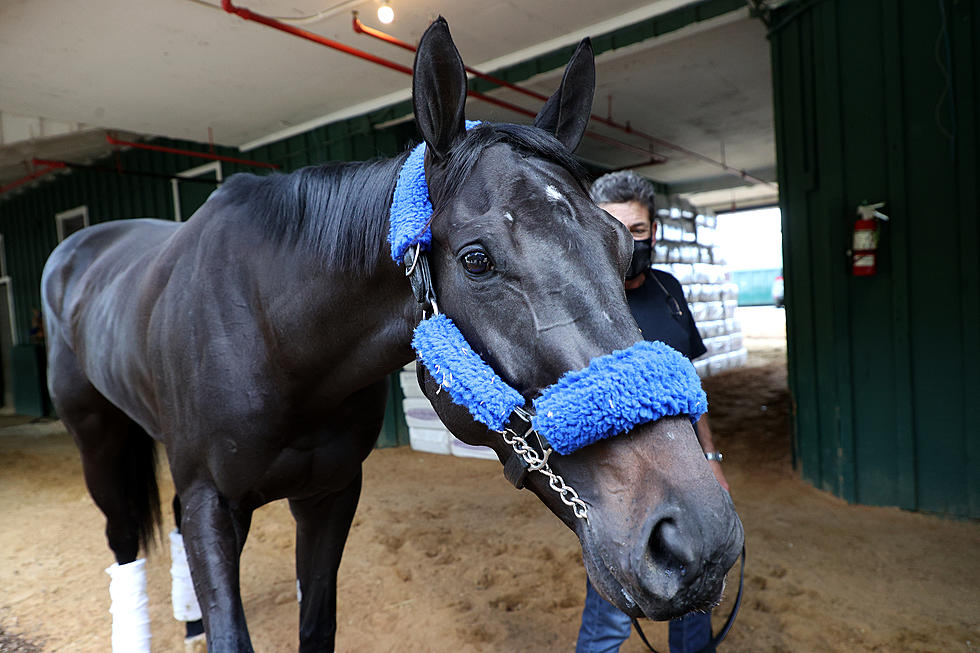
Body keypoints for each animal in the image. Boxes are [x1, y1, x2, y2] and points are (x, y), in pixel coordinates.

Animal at [40, 17, 744, 648]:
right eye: (476, 260)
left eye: (624, 247)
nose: (697, 539)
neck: (273, 336)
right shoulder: (213, 503)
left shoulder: (328, 496)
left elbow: (316, 624)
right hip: (97, 441)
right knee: (124, 543)